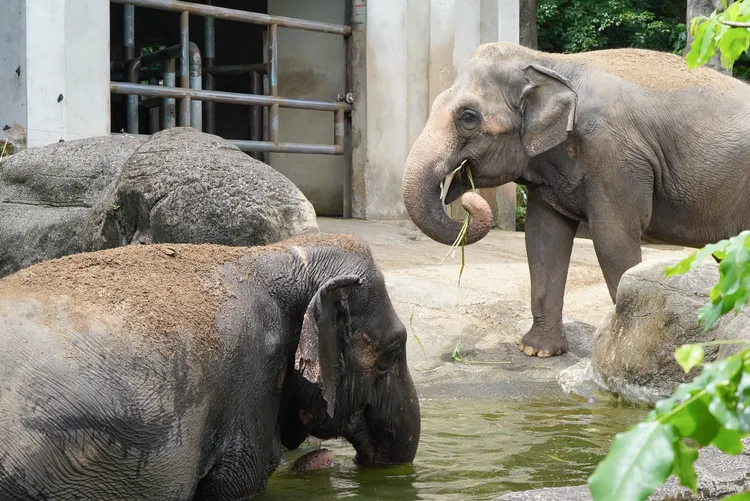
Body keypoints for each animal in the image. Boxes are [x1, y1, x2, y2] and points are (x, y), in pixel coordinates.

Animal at [402, 41, 750, 358]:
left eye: (468, 117)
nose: (468, 201)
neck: (547, 61)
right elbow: (543, 238)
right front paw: (538, 351)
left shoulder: (615, 157)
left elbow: (613, 240)